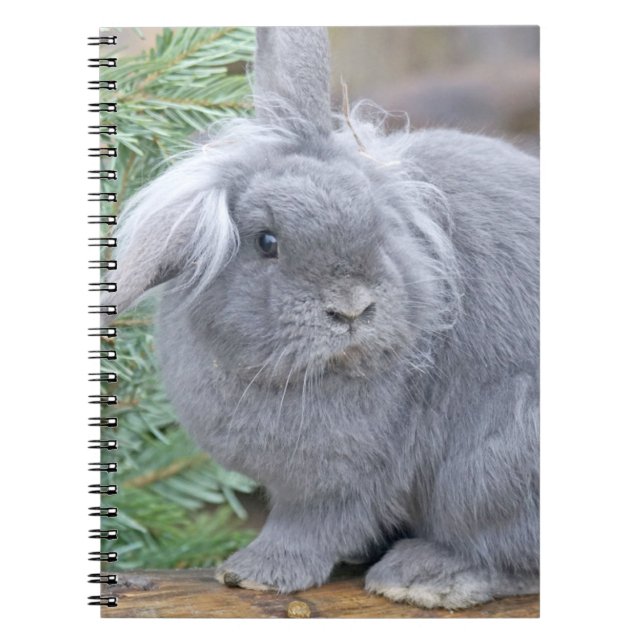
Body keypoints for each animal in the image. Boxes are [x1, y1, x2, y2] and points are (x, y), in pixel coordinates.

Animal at [106, 27, 539, 610]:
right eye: (267, 241)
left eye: (379, 225)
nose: (352, 307)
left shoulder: (339, 482)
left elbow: (311, 528)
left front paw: (254, 573)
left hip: (489, 471)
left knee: (508, 557)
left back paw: (424, 577)